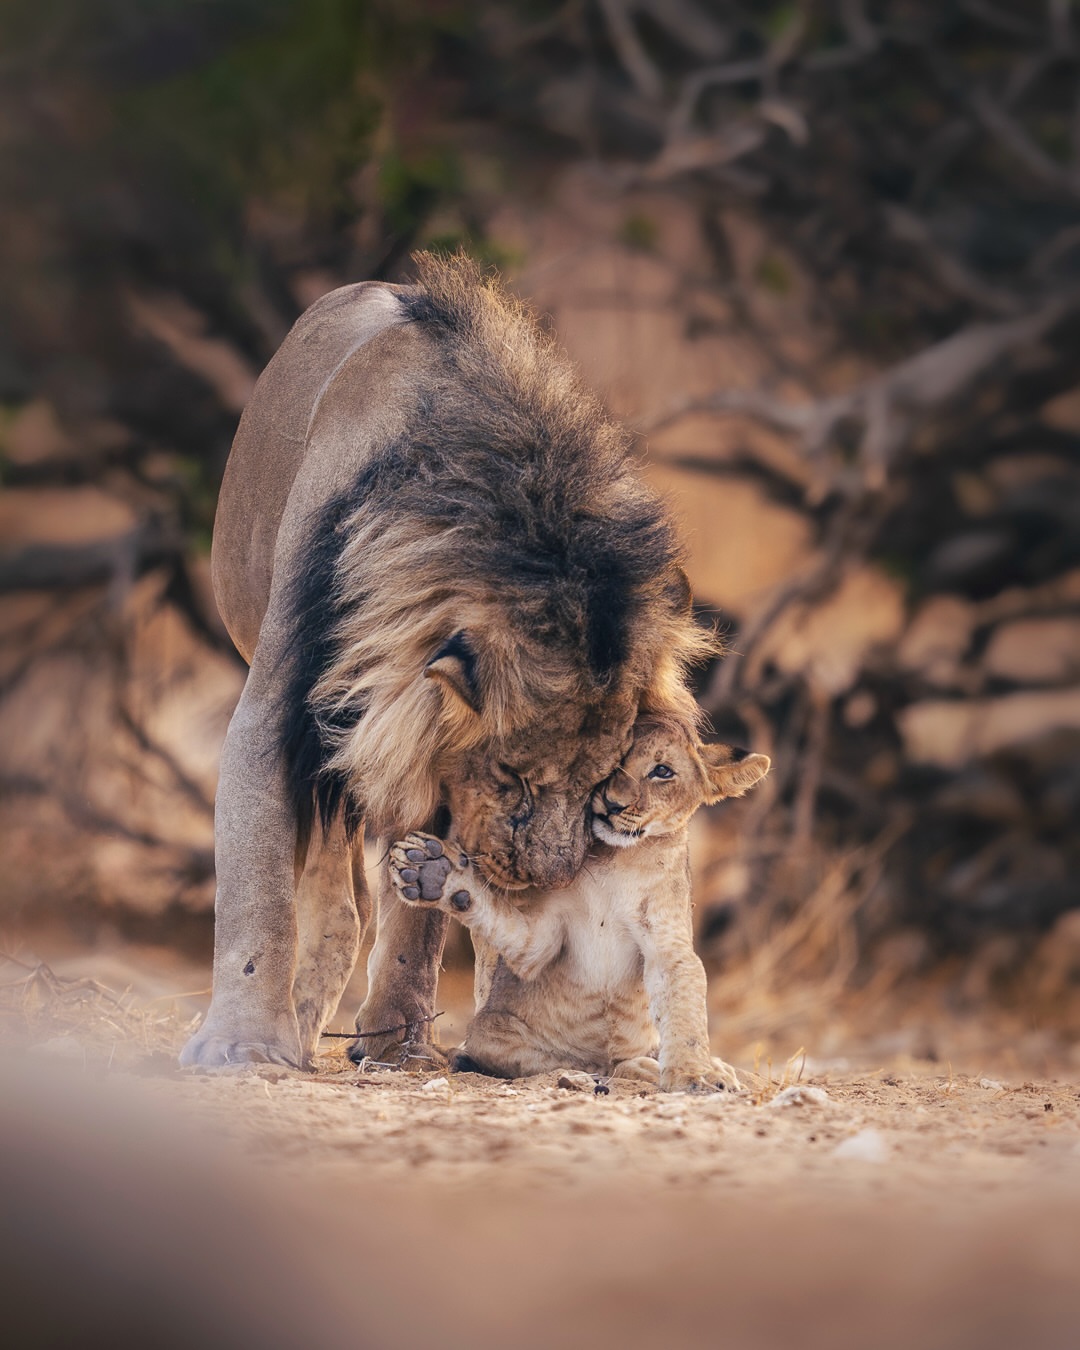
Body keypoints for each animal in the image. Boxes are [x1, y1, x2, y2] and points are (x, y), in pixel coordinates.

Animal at [180, 253, 715, 1070]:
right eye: (511, 776)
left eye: (604, 779)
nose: (546, 877)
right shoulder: (280, 704)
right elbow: (258, 890)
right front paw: (240, 1047)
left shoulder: (428, 751)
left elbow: (415, 920)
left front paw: (400, 1044)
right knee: (332, 901)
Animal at [388, 717, 771, 1092]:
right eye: (614, 762)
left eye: (662, 771)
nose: (612, 804)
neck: (617, 859)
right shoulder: (539, 943)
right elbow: (505, 922)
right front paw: (431, 871)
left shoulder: (666, 940)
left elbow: (684, 1004)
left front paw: (695, 1075)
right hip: (492, 1028)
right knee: (583, 1062)